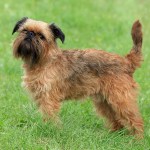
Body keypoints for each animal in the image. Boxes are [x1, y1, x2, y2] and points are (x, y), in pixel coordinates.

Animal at [11, 17, 143, 138]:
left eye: (41, 36)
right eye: (24, 30)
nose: (30, 34)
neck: (44, 61)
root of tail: (126, 61)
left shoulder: (48, 98)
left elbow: (49, 116)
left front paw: (50, 131)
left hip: (121, 99)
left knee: (136, 119)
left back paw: (137, 140)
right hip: (104, 101)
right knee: (116, 120)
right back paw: (112, 135)